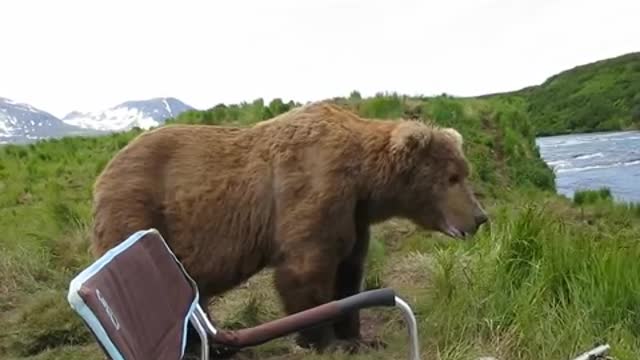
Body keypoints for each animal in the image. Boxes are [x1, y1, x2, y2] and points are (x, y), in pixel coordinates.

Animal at [90, 100, 488, 356]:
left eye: (464, 172)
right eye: (452, 177)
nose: (480, 217)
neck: (364, 180)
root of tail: (103, 174)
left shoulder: (353, 216)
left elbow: (349, 272)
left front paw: (359, 337)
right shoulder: (313, 190)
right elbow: (305, 270)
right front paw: (325, 340)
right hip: (139, 212)